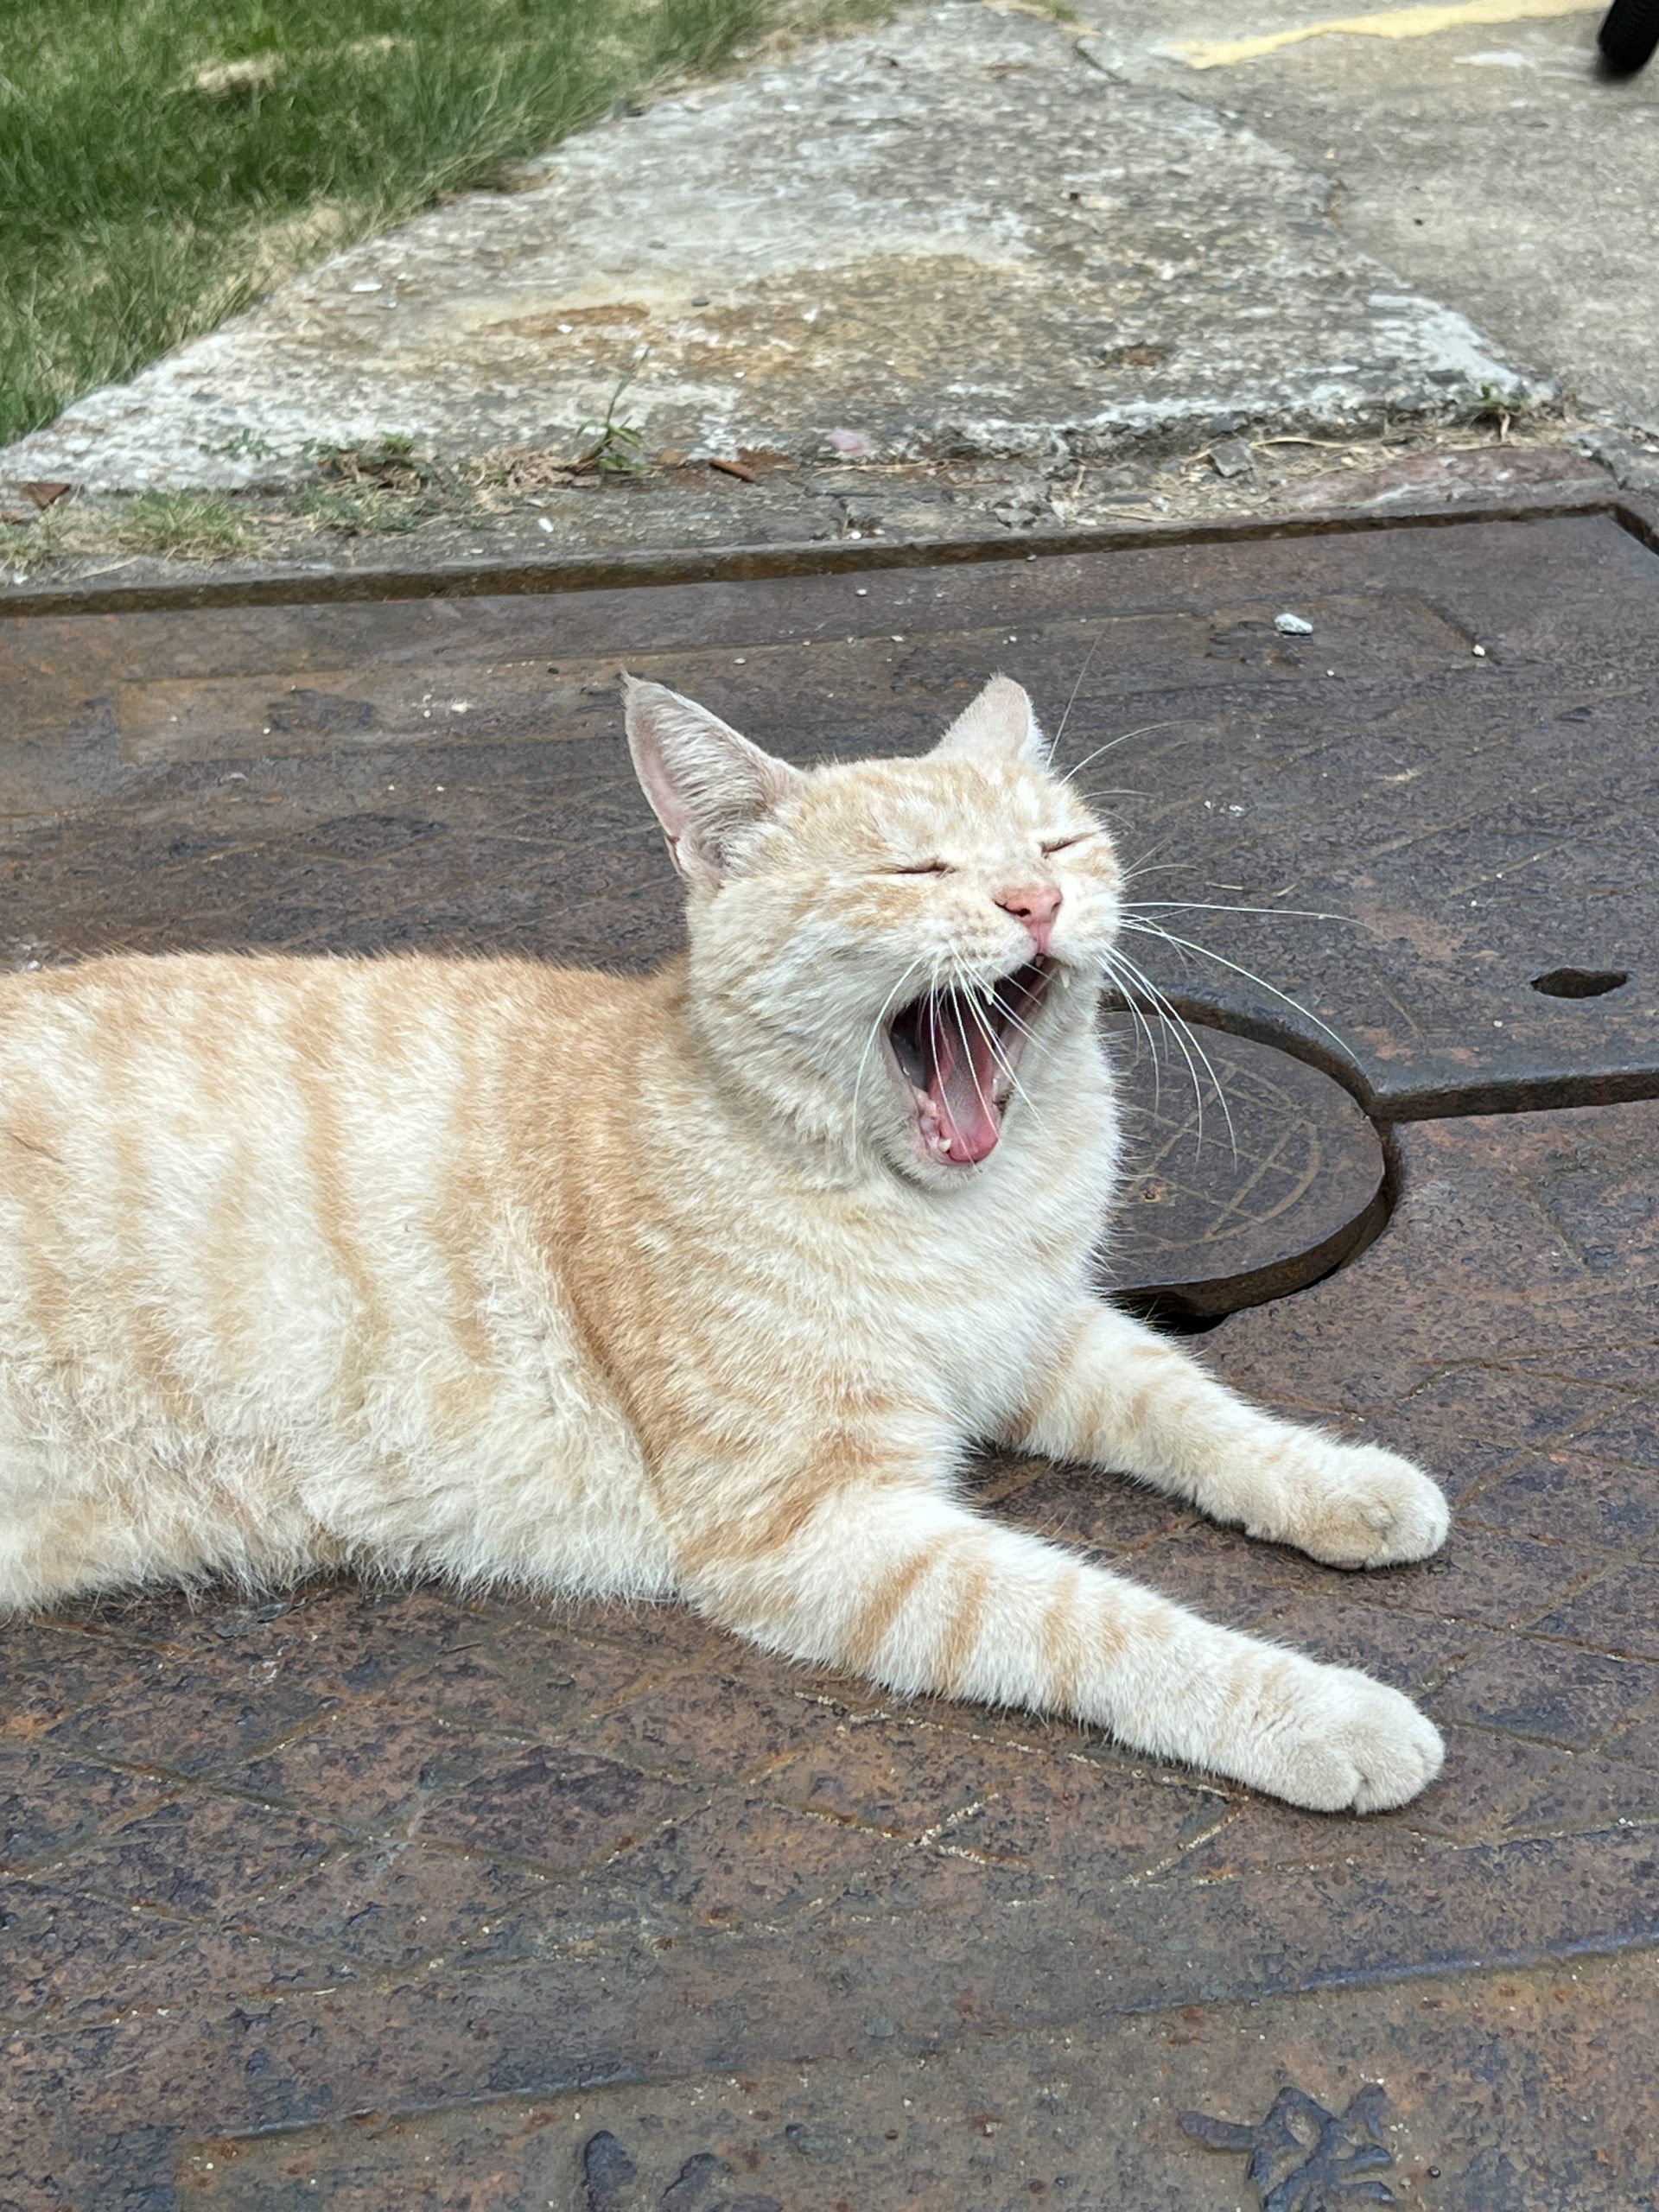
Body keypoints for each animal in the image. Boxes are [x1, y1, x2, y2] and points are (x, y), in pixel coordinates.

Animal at [0, 673, 1449, 1812]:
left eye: (1059, 841)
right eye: (914, 869)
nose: (1035, 902)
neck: (951, 1216)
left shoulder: (1038, 1336)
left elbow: (1195, 1405)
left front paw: (1345, 1488)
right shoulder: (817, 1527)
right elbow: (1095, 1616)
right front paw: (1316, 1713)